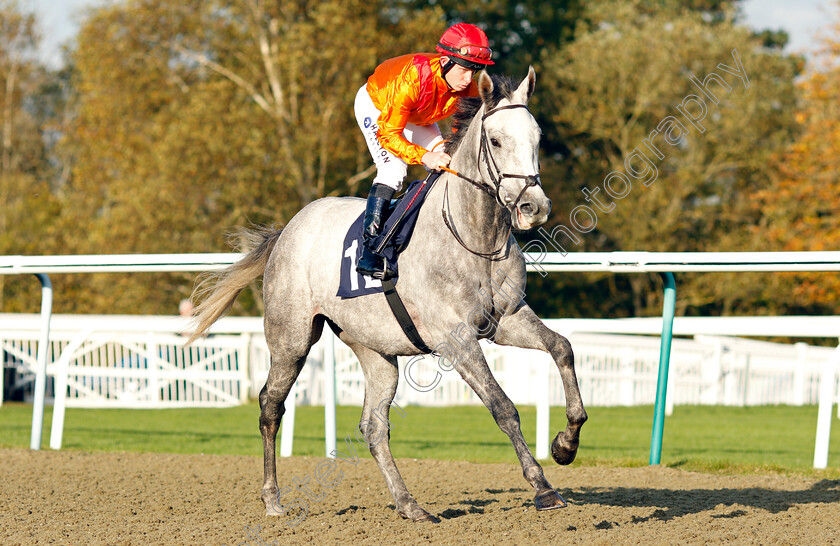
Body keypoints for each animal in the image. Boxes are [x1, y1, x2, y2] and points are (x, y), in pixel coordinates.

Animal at [188, 68, 588, 524]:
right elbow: (503, 407)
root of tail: (288, 228)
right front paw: (542, 487)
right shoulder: (456, 340)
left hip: (375, 350)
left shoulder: (507, 319)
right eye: (497, 140)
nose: (533, 207)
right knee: (270, 406)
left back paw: (410, 504)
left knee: (374, 426)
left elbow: (562, 347)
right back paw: (273, 498)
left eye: (537, 138)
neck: (475, 236)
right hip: (291, 339)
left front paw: (565, 445)